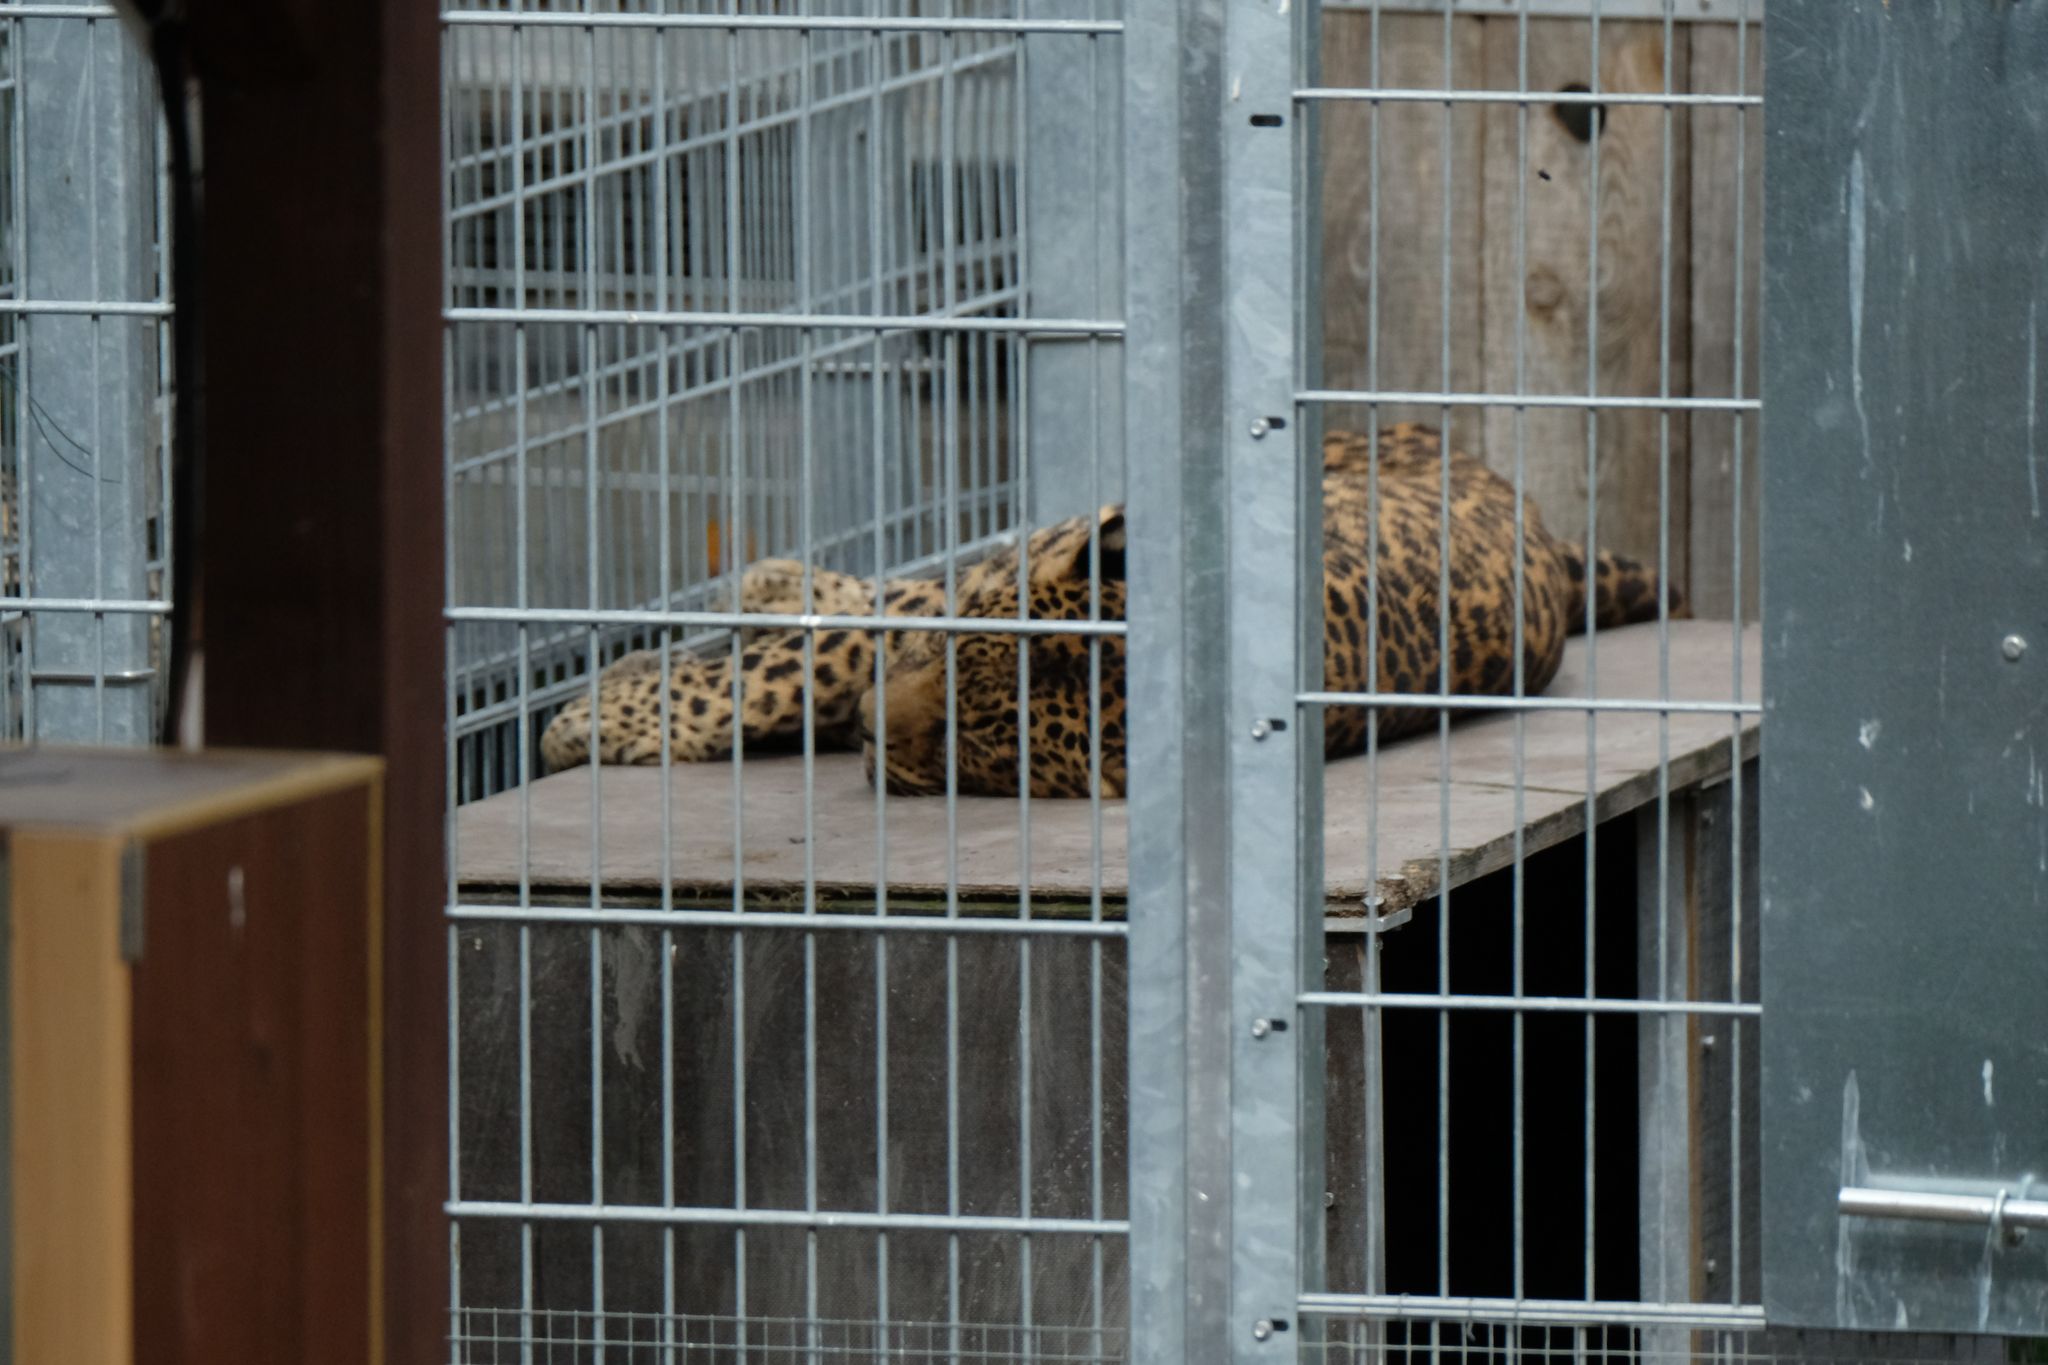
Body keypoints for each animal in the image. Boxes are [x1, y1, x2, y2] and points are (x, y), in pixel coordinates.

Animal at [540, 421, 1679, 794]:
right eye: (958, 667)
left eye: (978, 740)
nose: (867, 730)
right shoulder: (954, 604)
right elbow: (802, 660)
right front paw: (592, 718)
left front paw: (588, 722)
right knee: (884, 587)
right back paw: (775, 582)